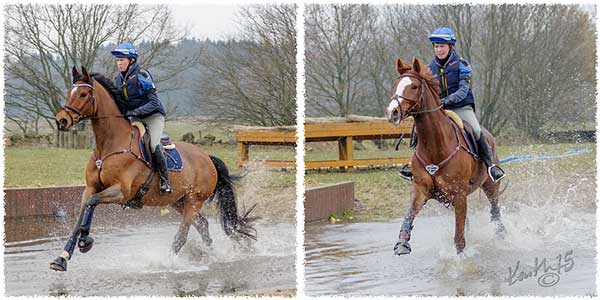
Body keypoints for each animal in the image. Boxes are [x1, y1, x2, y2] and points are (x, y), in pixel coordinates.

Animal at [50, 66, 256, 272]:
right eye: (69, 92)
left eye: (84, 94)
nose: (61, 121)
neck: (108, 146)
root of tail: (208, 158)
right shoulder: (91, 188)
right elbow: (81, 215)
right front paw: (62, 257)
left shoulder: (121, 191)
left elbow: (92, 203)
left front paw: (86, 240)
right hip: (178, 201)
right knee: (203, 224)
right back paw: (212, 255)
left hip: (193, 201)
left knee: (182, 235)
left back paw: (166, 262)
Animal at [384, 57, 506, 254]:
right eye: (396, 85)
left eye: (414, 87)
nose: (392, 112)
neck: (435, 146)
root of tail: (489, 135)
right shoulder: (421, 190)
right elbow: (410, 213)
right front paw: (402, 242)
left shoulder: (459, 195)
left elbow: (459, 239)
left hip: (490, 185)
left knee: (495, 210)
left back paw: (501, 234)